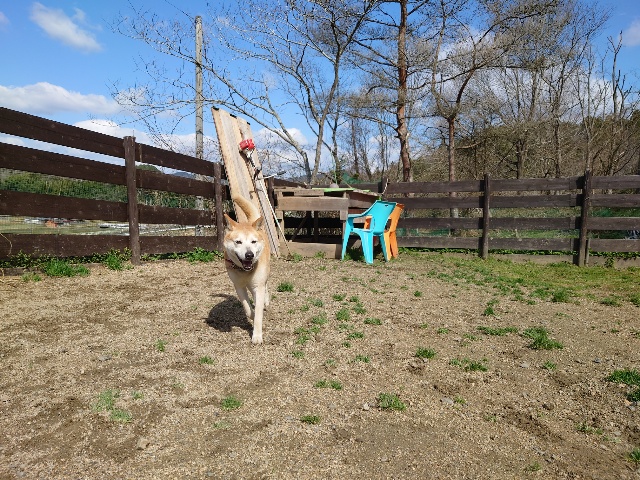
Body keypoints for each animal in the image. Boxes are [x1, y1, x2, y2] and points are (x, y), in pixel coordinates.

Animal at [223, 195, 270, 344]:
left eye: (253, 242)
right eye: (238, 242)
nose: (249, 255)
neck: (245, 271)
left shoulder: (258, 286)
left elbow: (258, 314)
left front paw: (257, 336)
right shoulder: (238, 286)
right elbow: (248, 309)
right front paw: (252, 314)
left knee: (266, 286)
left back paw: (266, 301)